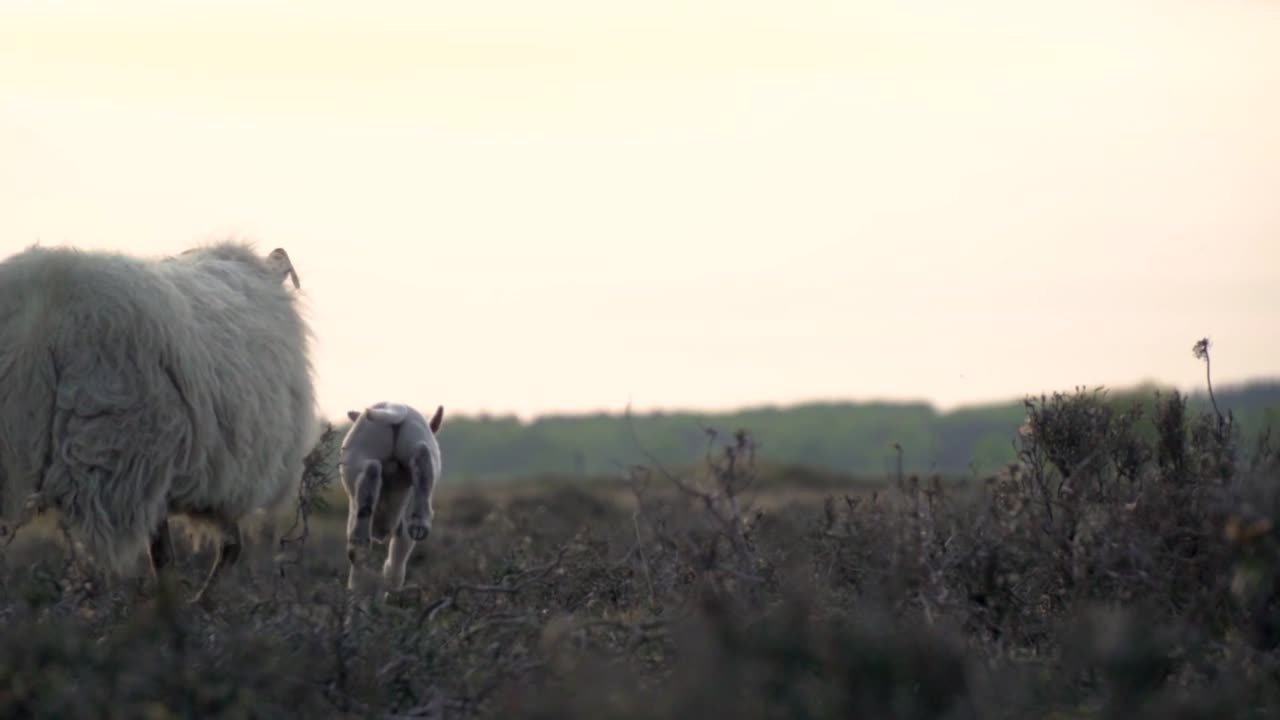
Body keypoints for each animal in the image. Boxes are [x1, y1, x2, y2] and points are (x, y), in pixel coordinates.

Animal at [339, 401, 444, 597]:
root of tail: (393, 409)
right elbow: (399, 556)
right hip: (416, 441)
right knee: (422, 455)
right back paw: (420, 523)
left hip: (358, 457)